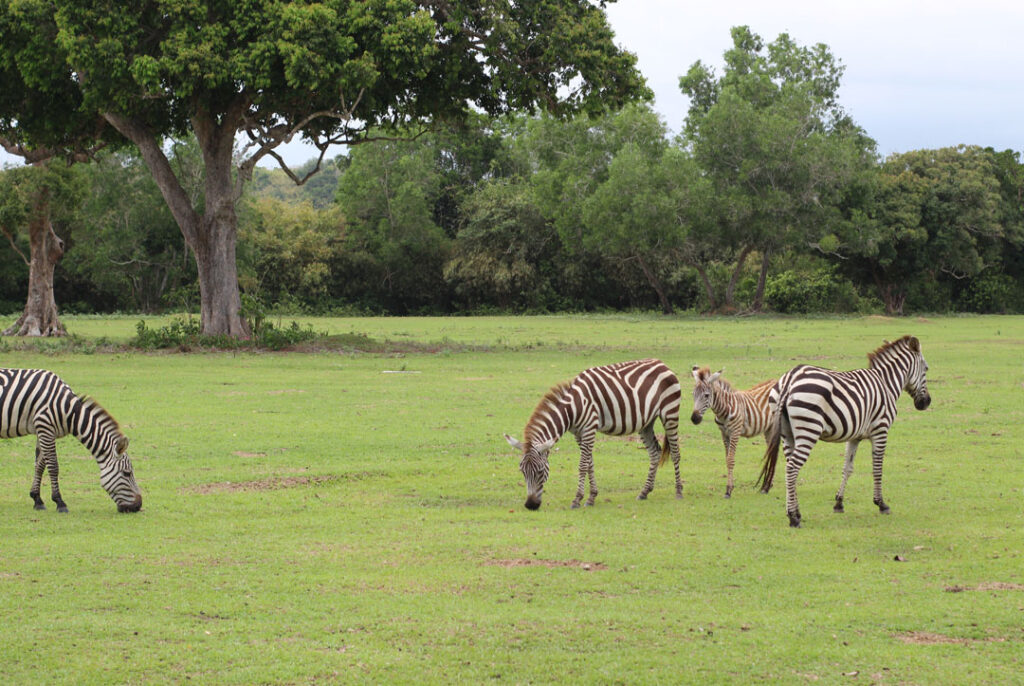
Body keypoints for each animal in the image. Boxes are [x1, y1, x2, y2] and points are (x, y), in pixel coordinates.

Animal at [1, 368, 144, 513]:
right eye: (127, 473)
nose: (138, 506)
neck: (69, 411)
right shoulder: (45, 426)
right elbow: (53, 466)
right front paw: (59, 502)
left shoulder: (41, 430)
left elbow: (40, 465)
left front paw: (37, 499)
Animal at [501, 360, 684, 509]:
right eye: (522, 471)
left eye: (540, 471)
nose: (530, 505)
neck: (572, 408)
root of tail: (661, 363)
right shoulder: (578, 433)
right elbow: (590, 463)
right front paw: (591, 498)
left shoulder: (589, 428)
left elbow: (583, 465)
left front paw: (577, 499)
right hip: (646, 422)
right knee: (654, 452)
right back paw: (644, 492)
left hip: (670, 413)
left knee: (675, 453)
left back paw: (678, 491)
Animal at [692, 364, 778, 499]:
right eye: (693, 395)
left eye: (706, 395)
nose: (694, 419)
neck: (724, 409)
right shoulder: (724, 433)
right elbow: (727, 458)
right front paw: (730, 487)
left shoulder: (735, 432)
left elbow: (730, 460)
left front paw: (728, 490)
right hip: (769, 428)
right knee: (771, 452)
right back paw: (767, 486)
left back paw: (768, 485)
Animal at [757, 335, 933, 528]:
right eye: (926, 368)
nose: (926, 403)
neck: (886, 384)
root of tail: (790, 377)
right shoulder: (881, 430)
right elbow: (877, 468)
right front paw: (881, 504)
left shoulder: (854, 436)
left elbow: (847, 468)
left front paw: (838, 503)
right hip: (809, 429)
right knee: (792, 467)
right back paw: (793, 518)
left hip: (787, 434)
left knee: (791, 468)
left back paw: (796, 512)